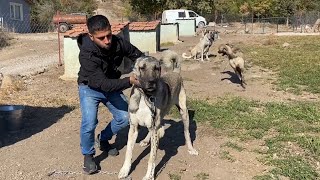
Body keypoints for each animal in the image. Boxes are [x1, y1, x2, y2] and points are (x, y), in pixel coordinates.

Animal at [117, 50, 198, 180]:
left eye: (157, 68)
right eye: (142, 68)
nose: (151, 82)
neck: (145, 96)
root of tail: (175, 72)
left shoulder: (154, 125)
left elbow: (152, 158)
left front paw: (149, 176)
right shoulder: (134, 128)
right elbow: (128, 151)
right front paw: (125, 170)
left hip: (183, 112)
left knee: (187, 133)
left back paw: (191, 148)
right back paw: (147, 139)